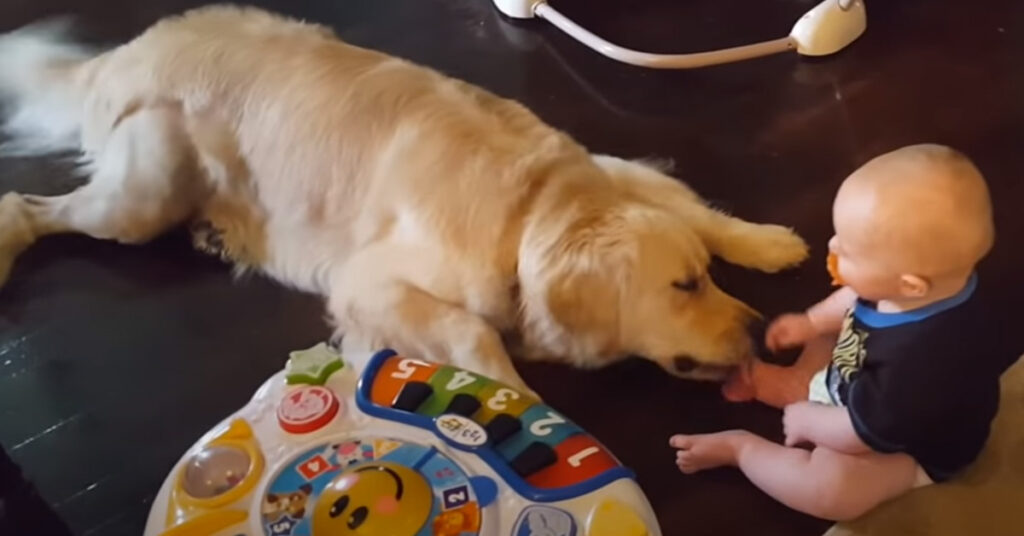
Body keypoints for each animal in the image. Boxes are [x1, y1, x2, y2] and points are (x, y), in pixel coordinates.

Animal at [0, 4, 806, 389]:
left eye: (706, 274)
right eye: (682, 287)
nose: (762, 329)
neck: (533, 213)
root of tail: (125, 53)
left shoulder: (614, 166)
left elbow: (692, 203)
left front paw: (767, 239)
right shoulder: (366, 281)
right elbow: (470, 332)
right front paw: (516, 396)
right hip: (144, 191)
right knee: (30, 207)